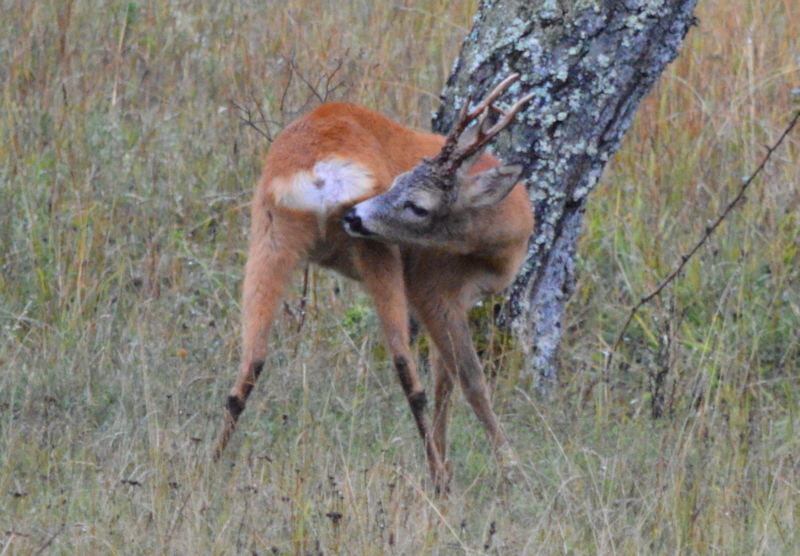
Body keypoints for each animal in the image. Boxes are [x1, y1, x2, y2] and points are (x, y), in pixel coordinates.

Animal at [216, 74, 536, 490]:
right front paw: (512, 471)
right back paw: (438, 480)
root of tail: (321, 171)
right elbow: (468, 379)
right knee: (406, 369)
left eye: (417, 204)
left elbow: (444, 378)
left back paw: (211, 463)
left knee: (250, 363)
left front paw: (452, 456)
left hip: (270, 231)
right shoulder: (432, 287)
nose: (353, 215)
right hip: (377, 252)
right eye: (396, 183)